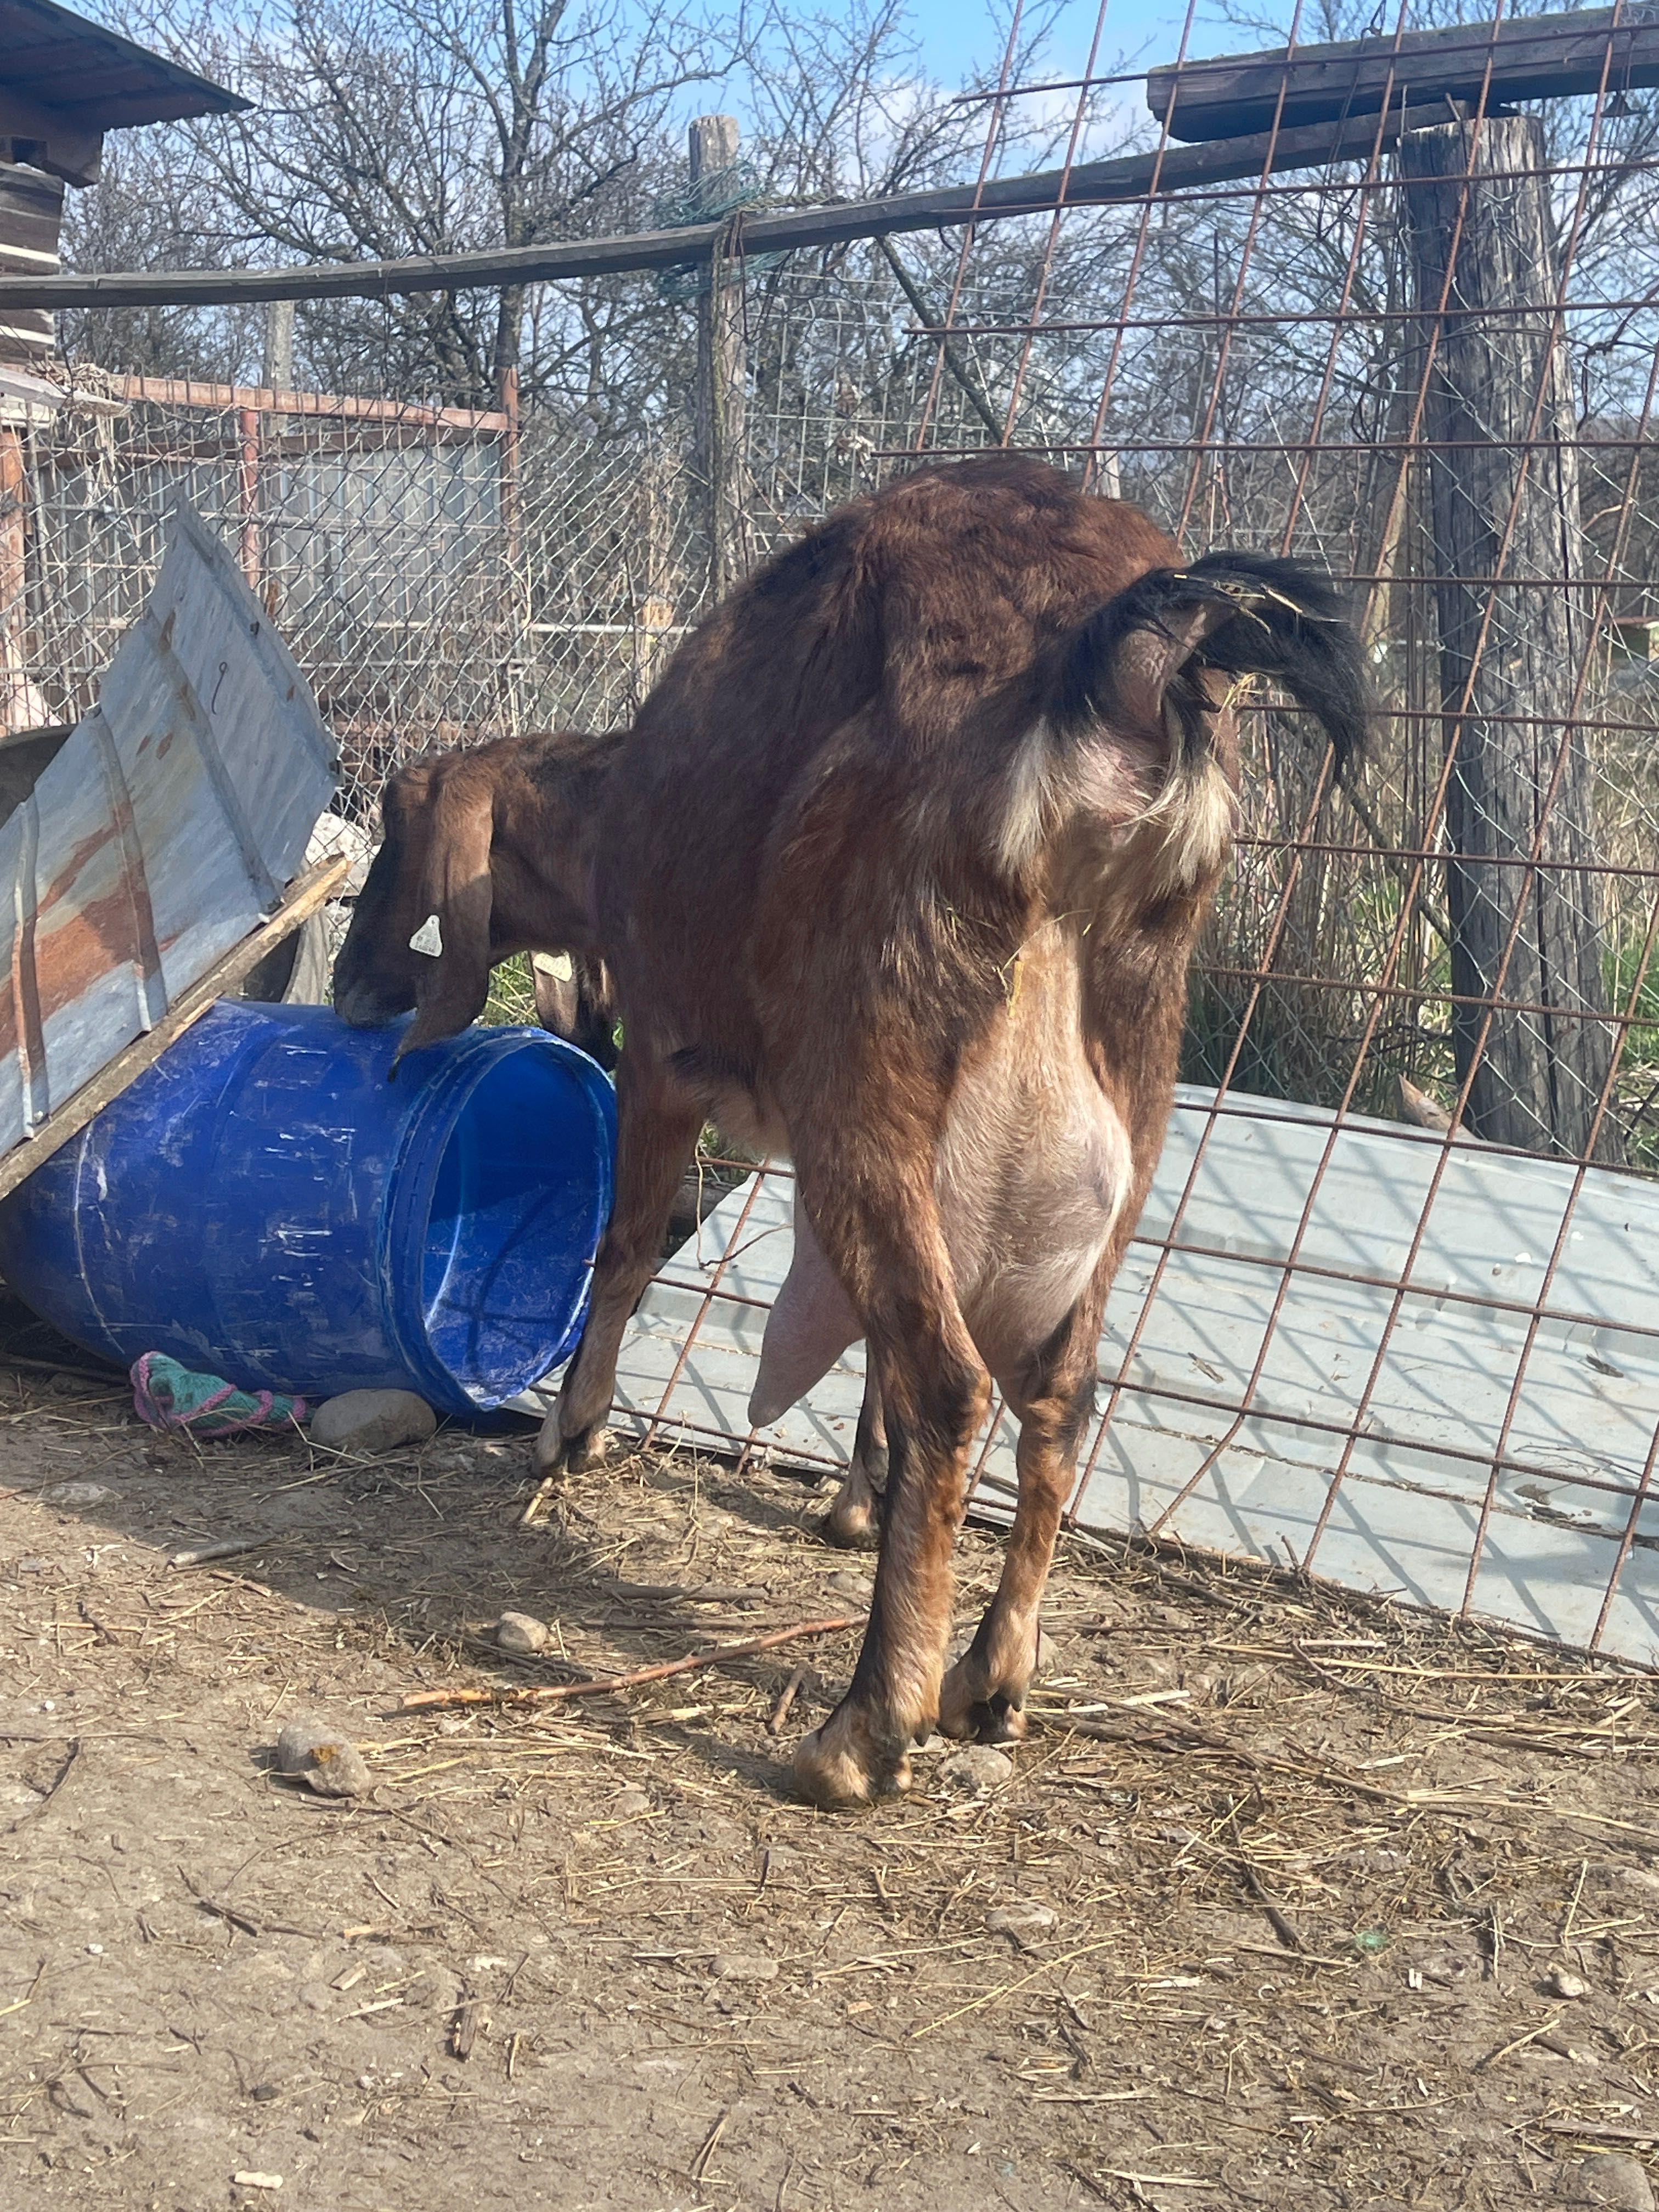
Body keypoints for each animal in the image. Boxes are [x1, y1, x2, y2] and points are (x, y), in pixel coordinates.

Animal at [338, 458, 1362, 1805]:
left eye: (395, 830)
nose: (349, 983)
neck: (616, 803)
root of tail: (1114, 666)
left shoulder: (666, 1058)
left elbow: (625, 1249)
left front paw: (572, 1432)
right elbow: (861, 1345)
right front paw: (852, 1506)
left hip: (865, 1069)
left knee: (951, 1383)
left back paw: (866, 1727)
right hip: (1128, 1104)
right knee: (1055, 1395)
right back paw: (990, 1680)